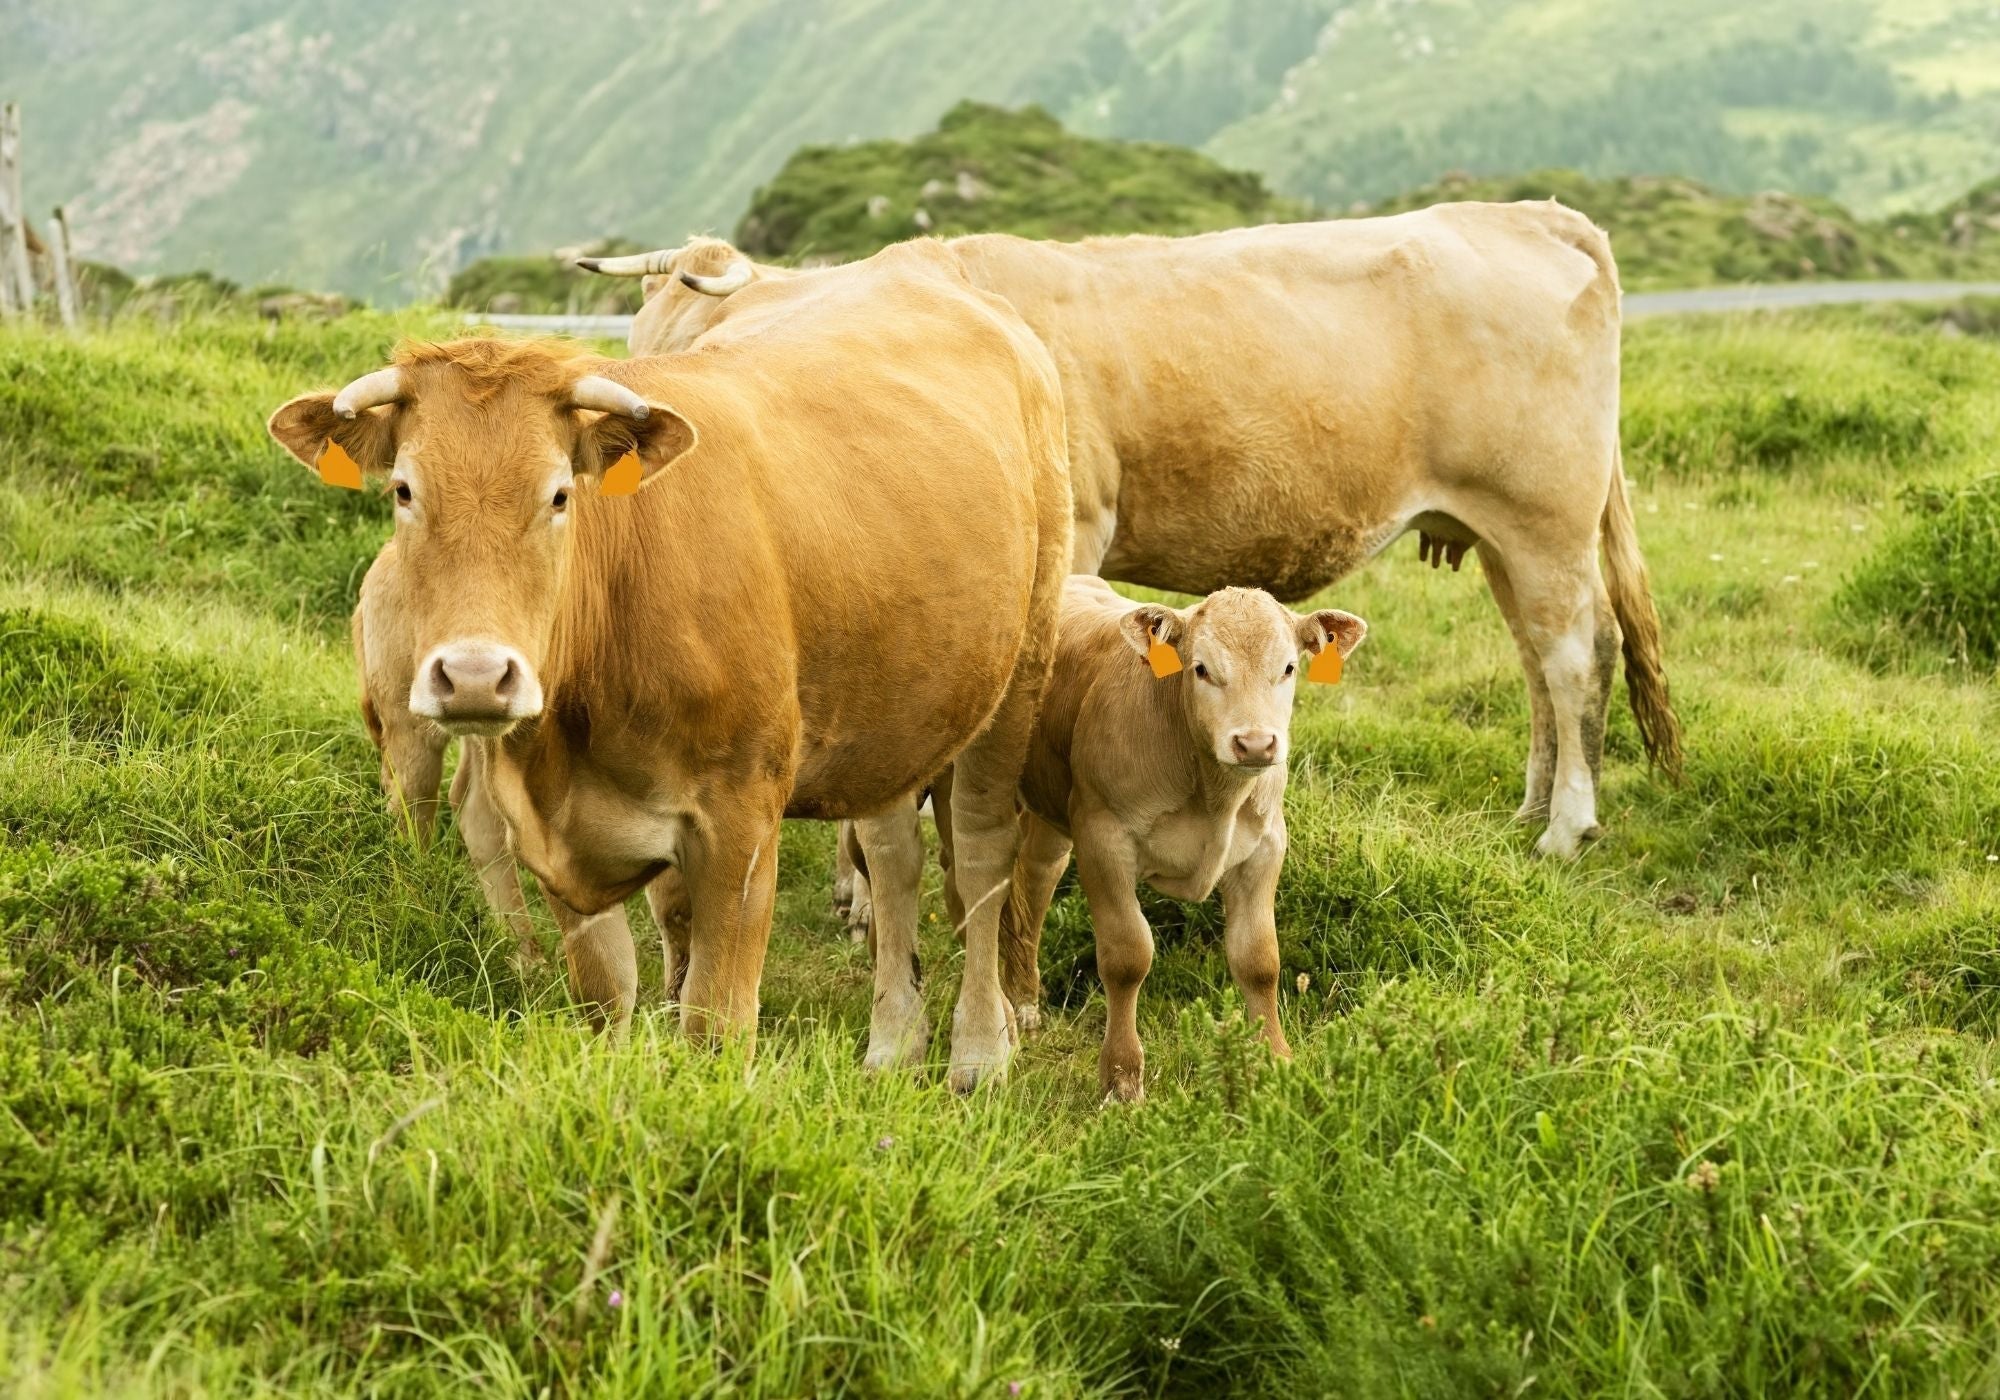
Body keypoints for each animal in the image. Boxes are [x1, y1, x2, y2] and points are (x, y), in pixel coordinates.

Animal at [271, 239, 1072, 1087]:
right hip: (895, 698)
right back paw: (894, 1041)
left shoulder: (740, 820)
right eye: (403, 490)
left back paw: (980, 1050)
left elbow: (716, 1019)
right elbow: (605, 995)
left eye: (559, 494)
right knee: (893, 857)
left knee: (981, 856)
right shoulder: (555, 838)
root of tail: (923, 260)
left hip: (1019, 671)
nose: (477, 676)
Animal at [584, 206, 1681, 877]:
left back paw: (1566, 826)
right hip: (1502, 532)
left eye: (692, 342)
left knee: (1574, 655)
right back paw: (1532, 807)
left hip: (1540, 514)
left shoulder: (1071, 538)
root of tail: (1530, 213)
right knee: (1538, 663)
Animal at [997, 577, 1366, 1101]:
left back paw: (1026, 998)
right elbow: (1127, 956)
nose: (1255, 743)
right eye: (1202, 668)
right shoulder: (1103, 840)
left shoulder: (1265, 848)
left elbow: (1259, 960)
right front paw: (1121, 1078)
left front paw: (1276, 1062)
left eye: (1289, 667)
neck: (1214, 797)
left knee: (1036, 877)